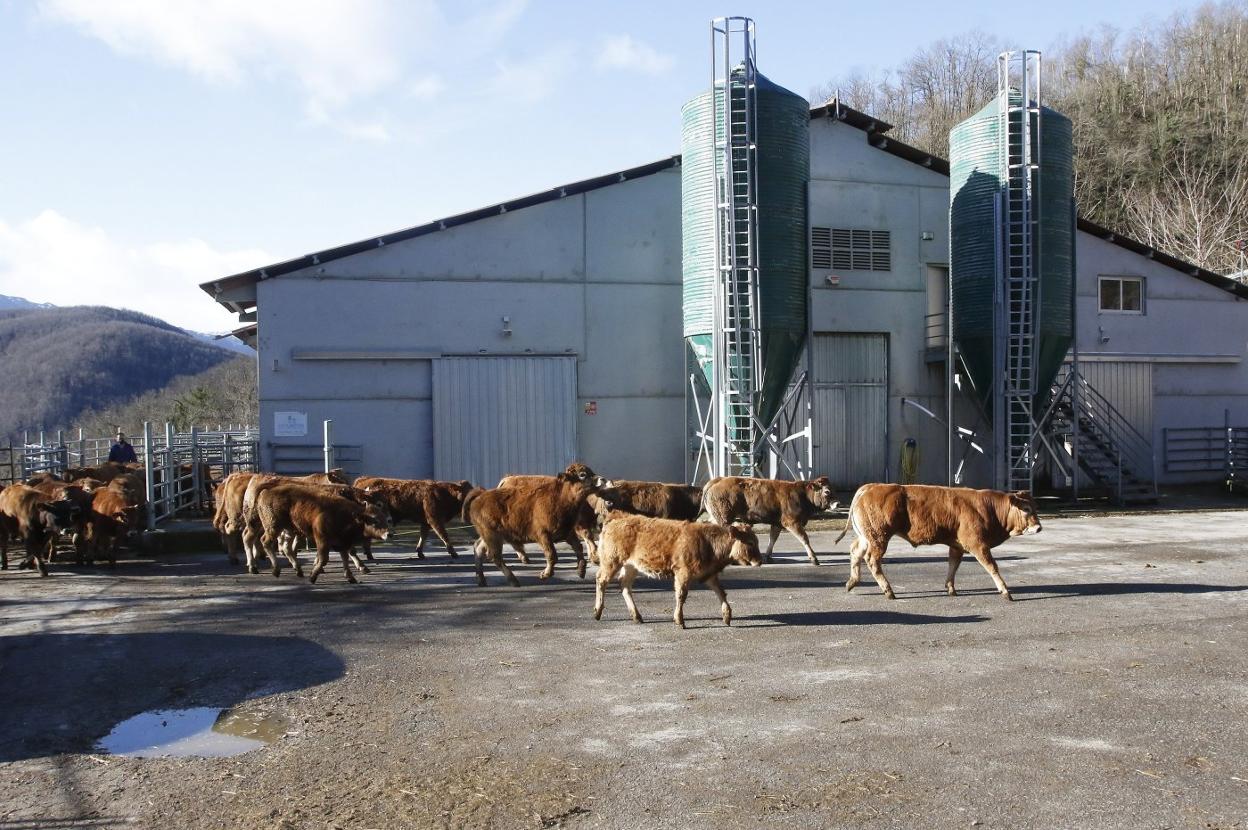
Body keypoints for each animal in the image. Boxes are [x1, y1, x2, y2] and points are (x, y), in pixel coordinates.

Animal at [466, 461, 606, 586]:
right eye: (582, 474)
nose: (602, 479)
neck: (560, 498)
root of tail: (480, 497)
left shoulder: (567, 533)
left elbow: (578, 548)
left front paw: (581, 571)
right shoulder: (543, 535)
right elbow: (552, 555)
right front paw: (545, 574)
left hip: (491, 536)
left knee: (479, 548)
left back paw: (482, 580)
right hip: (492, 536)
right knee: (495, 556)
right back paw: (513, 580)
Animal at [591, 511, 758, 629]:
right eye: (750, 542)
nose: (760, 561)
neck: (708, 541)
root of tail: (616, 518)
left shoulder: (709, 574)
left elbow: (721, 592)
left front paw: (727, 616)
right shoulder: (683, 572)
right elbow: (681, 595)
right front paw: (680, 620)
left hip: (631, 566)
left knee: (625, 585)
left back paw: (637, 616)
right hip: (611, 561)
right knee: (601, 580)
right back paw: (598, 612)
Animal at [703, 476, 838, 566]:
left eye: (833, 489)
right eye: (827, 491)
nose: (837, 503)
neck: (802, 495)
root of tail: (718, 480)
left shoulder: (777, 523)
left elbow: (773, 538)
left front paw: (768, 556)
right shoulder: (791, 522)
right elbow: (804, 538)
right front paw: (813, 558)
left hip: (716, 517)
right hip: (723, 518)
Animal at [838, 481, 1043, 599]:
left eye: (1035, 507)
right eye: (1026, 509)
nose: (1039, 527)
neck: (989, 508)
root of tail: (871, 487)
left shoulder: (957, 546)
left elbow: (953, 565)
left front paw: (950, 588)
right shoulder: (978, 545)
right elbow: (992, 566)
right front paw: (1005, 591)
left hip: (867, 537)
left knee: (855, 552)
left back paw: (852, 582)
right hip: (879, 537)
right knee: (872, 560)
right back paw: (888, 591)